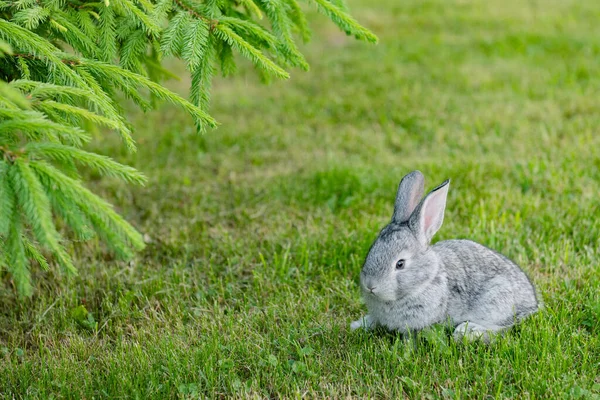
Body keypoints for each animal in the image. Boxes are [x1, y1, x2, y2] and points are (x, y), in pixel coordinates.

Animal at [352, 170, 540, 342]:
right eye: (371, 250)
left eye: (400, 264)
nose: (370, 285)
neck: (423, 282)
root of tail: (532, 302)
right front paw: (358, 325)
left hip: (497, 300)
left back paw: (466, 332)